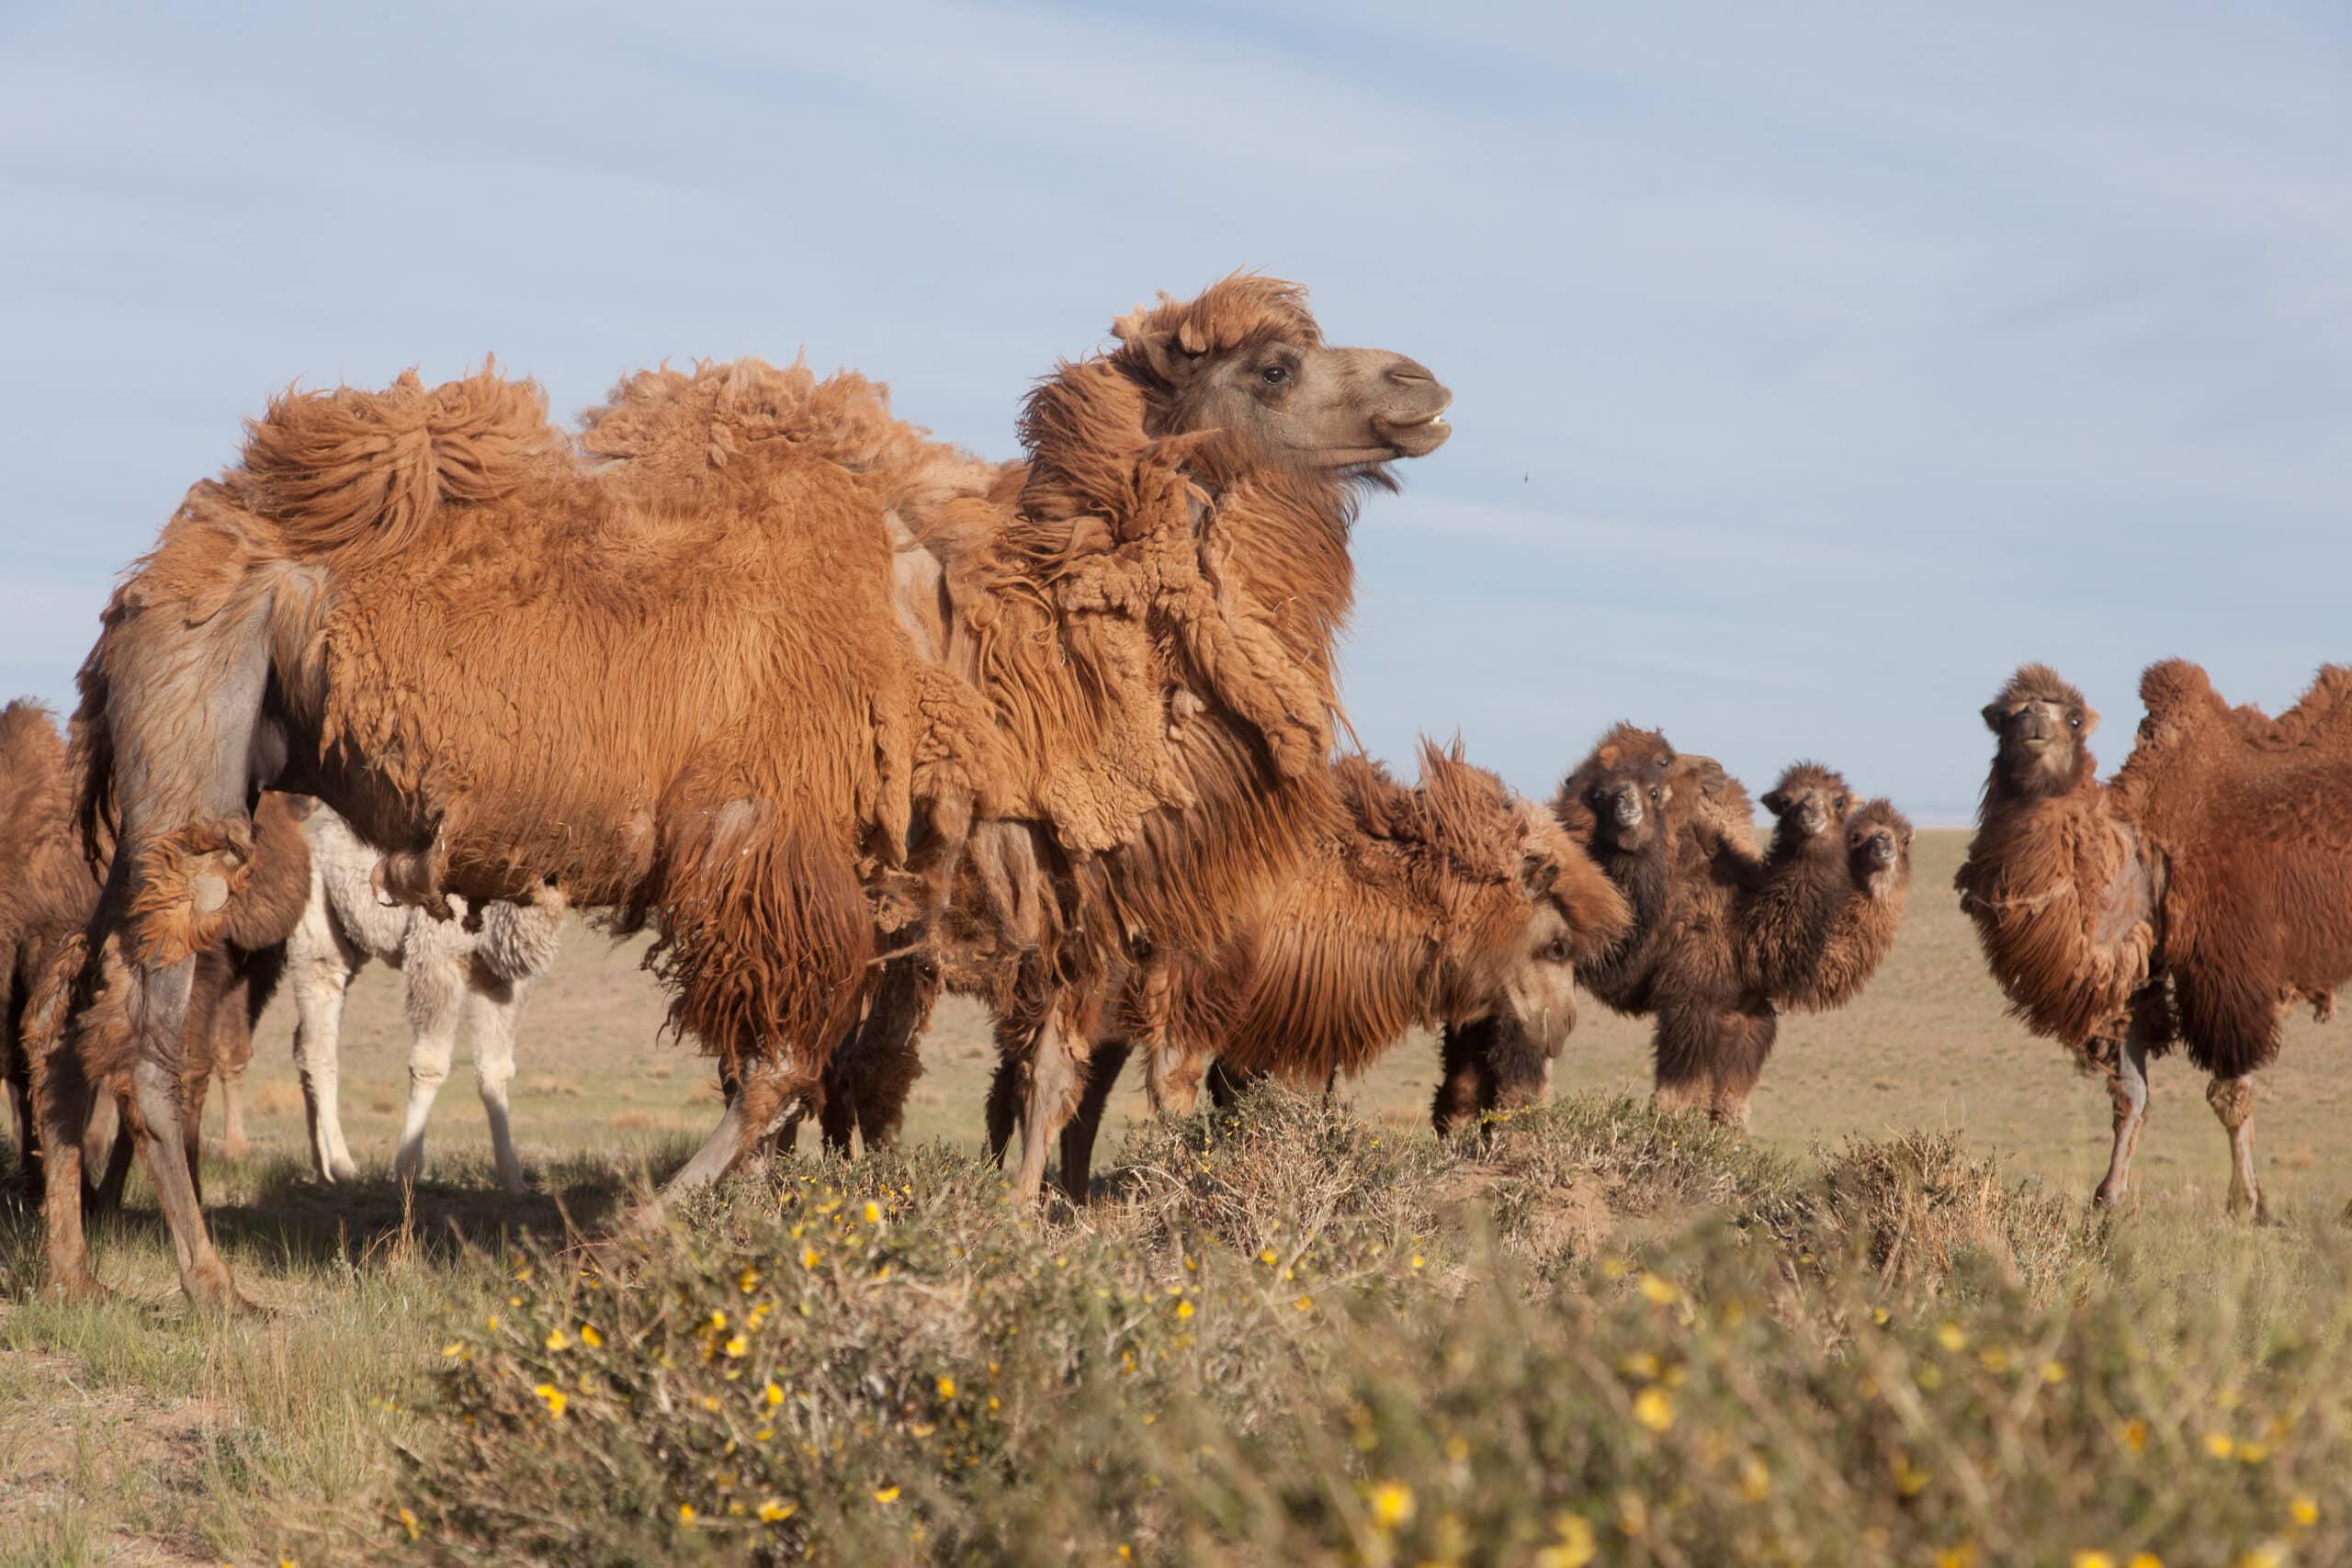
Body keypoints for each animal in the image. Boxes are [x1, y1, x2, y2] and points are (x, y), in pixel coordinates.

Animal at [282, 800, 566, 1194]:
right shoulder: (436, 953)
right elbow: (430, 1065)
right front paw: (408, 1167)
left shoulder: (500, 978)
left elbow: (494, 1070)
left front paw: (513, 1177)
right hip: (316, 930)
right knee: (319, 1047)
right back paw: (343, 1165)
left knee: (302, 1043)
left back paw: (322, 1170)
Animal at [1554, 728, 1912, 1126]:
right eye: (1786, 800)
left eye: (1837, 800)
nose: (1810, 812)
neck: (1744, 923)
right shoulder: (1691, 999)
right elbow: (1676, 1100)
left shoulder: (1749, 1010)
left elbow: (1730, 1107)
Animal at [1956, 661, 2352, 1217]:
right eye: (2002, 716)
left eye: (2073, 718)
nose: (2034, 720)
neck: (2143, 854)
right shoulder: (2135, 974)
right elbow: (2131, 1096)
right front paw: (2108, 1196)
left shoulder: (2227, 972)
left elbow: (2230, 1094)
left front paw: (2248, 1204)